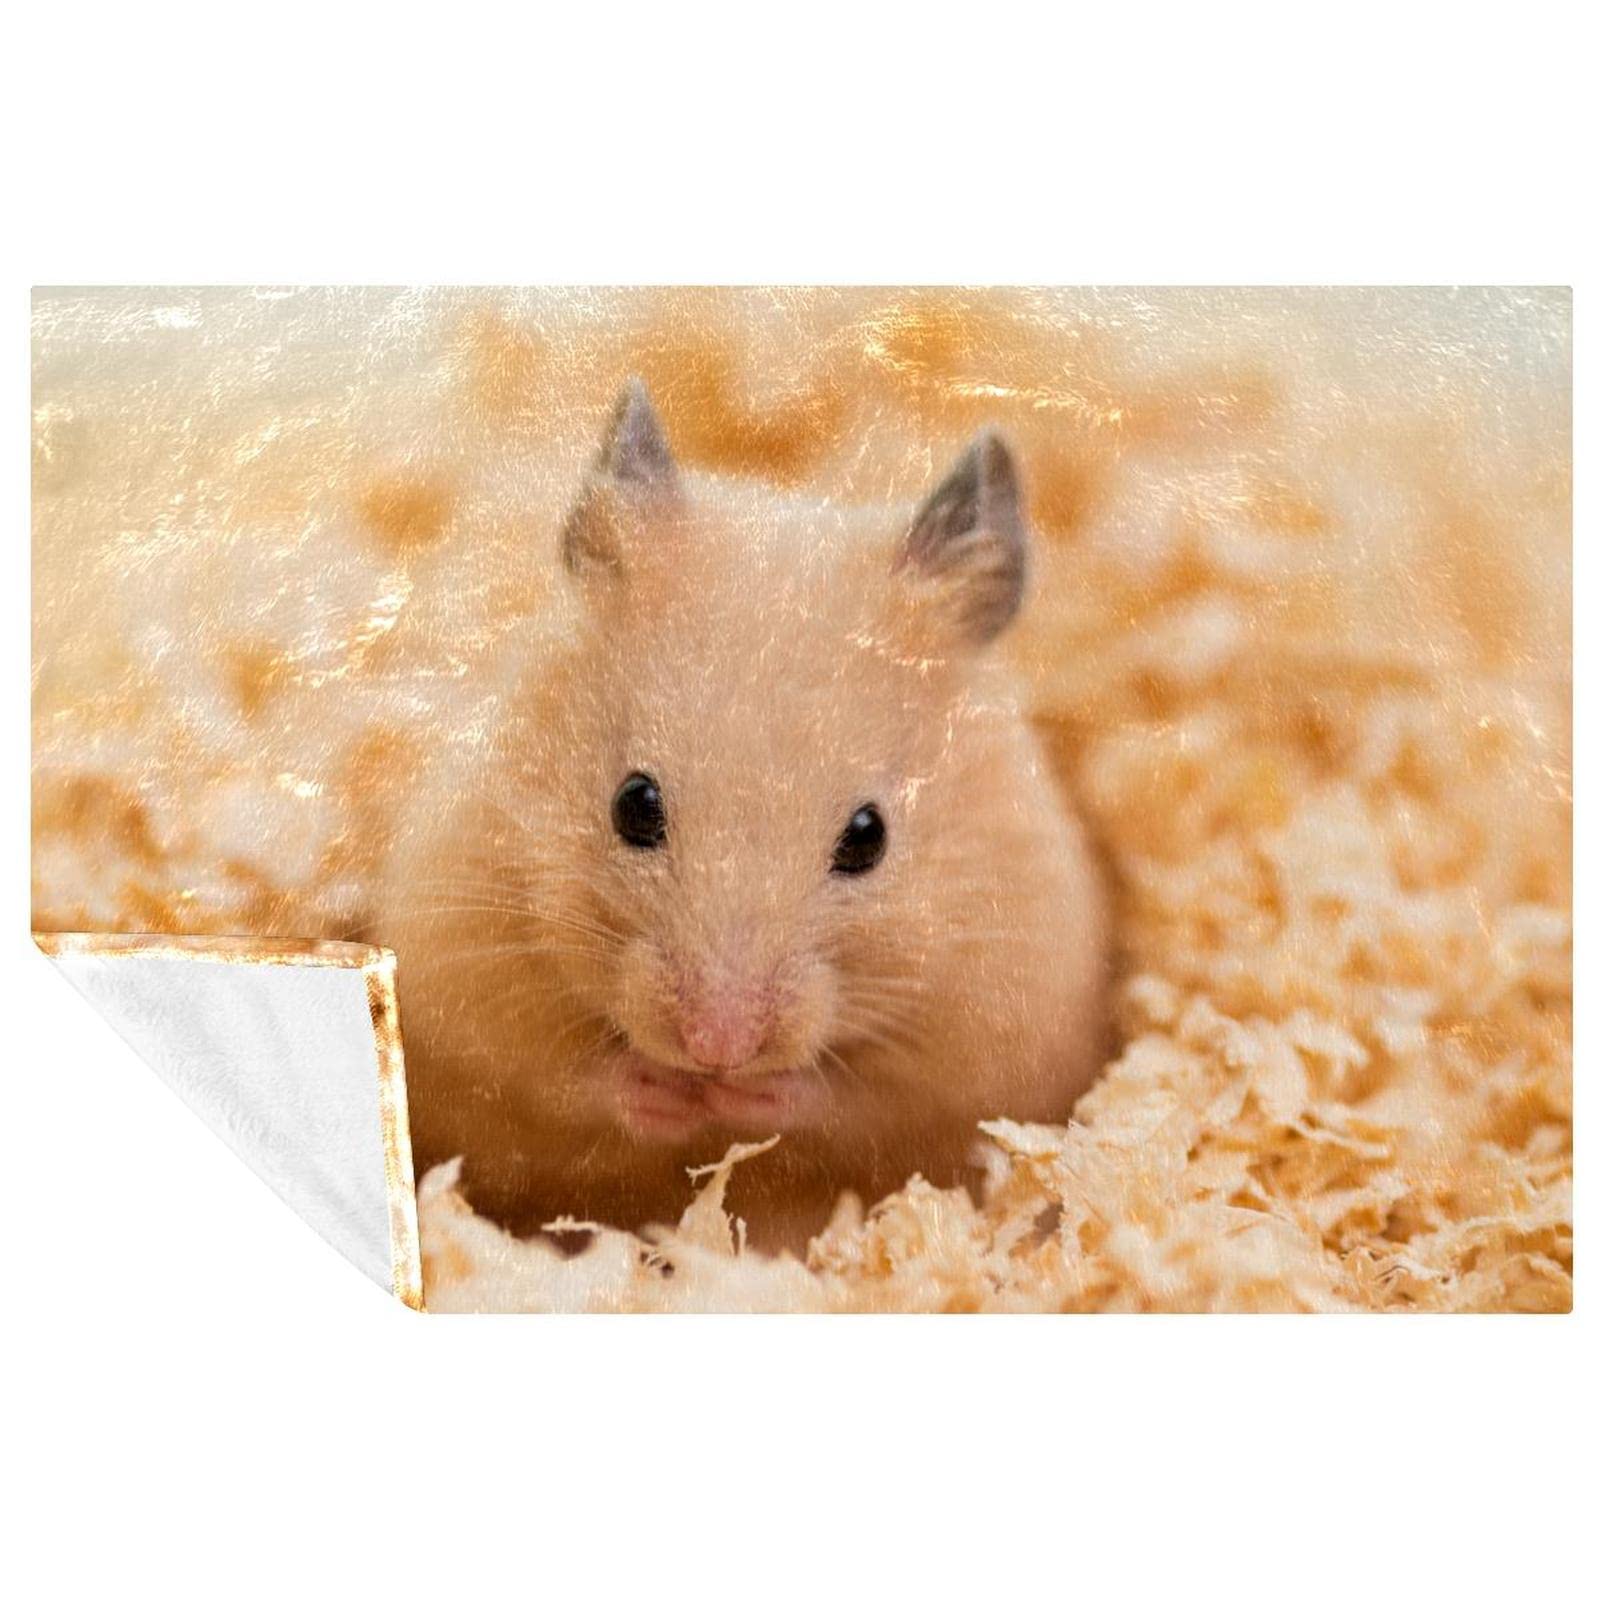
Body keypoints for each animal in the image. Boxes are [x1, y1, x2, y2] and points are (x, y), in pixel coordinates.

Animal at [378, 381, 1109, 1248]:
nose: (714, 1048)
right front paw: (668, 1092)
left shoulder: (997, 1024)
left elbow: (856, 1101)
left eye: (868, 836)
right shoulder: (462, 958)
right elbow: (554, 1069)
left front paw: (740, 1097)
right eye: (634, 804)